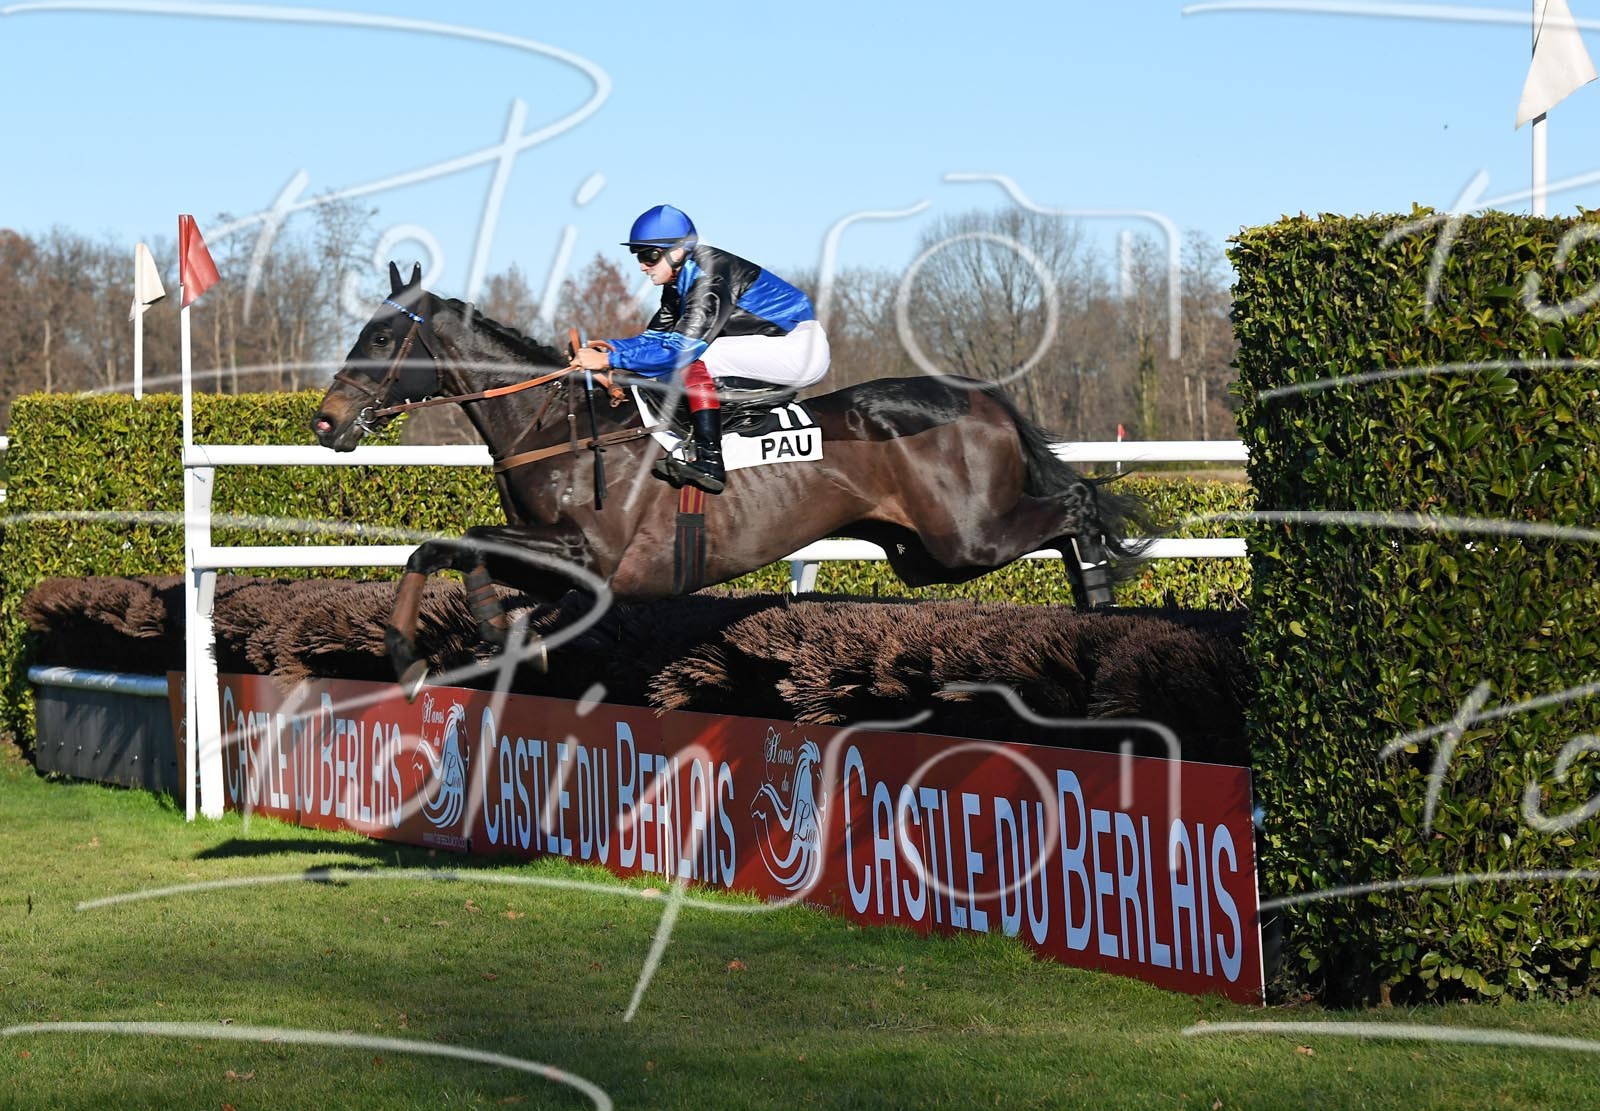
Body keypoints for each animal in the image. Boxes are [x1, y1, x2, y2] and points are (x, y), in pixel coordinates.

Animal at [312, 263, 1150, 694]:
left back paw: (1100, 603)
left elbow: (447, 543)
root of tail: (983, 395)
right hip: (922, 553)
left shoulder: (590, 554)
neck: (557, 425)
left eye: (379, 336)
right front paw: (490, 633)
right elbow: (462, 554)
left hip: (963, 538)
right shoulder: (554, 557)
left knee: (1076, 505)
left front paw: (407, 651)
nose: (325, 420)